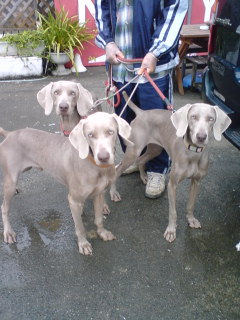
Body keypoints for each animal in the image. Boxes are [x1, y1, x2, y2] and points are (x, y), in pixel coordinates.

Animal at [109, 95, 232, 242]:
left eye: (211, 119)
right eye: (193, 117)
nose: (201, 137)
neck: (193, 152)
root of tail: (142, 112)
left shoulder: (196, 182)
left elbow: (191, 205)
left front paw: (191, 220)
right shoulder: (172, 184)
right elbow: (173, 212)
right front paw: (171, 231)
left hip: (155, 149)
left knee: (141, 160)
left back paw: (144, 177)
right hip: (134, 150)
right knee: (118, 169)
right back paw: (113, 192)